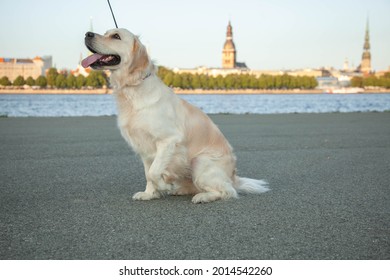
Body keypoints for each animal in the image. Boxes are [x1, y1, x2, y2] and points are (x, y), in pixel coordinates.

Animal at [80, 29, 266, 203]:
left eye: (116, 36)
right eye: (105, 33)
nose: (88, 34)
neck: (132, 90)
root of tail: (233, 176)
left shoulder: (168, 140)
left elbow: (154, 171)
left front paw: (163, 186)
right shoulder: (145, 149)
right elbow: (148, 173)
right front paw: (149, 194)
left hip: (199, 162)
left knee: (227, 191)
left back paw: (203, 196)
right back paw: (181, 190)